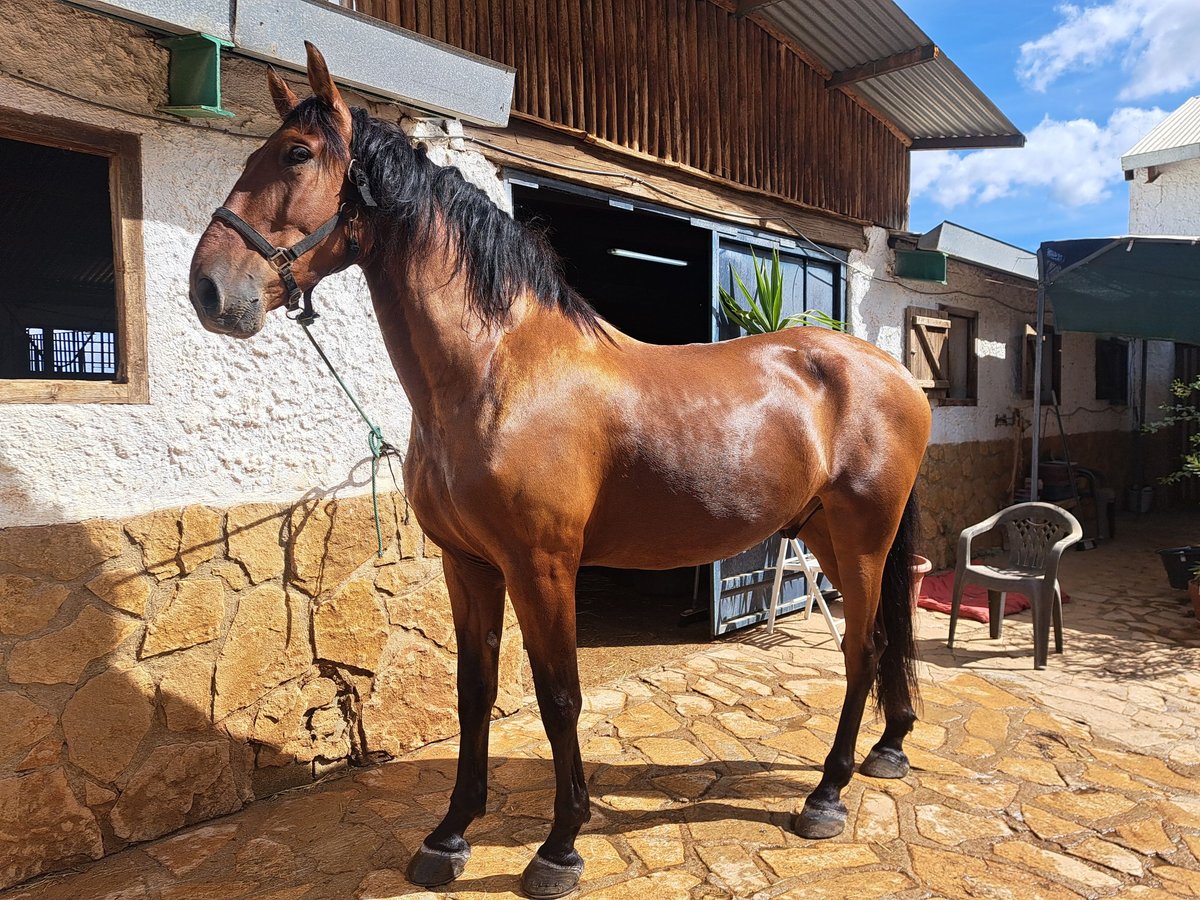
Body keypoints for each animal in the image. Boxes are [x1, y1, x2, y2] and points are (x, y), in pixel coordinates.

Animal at [192, 45, 931, 897]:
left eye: (296, 154)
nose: (209, 288)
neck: (498, 372)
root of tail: (897, 374)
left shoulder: (541, 567)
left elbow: (558, 697)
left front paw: (559, 846)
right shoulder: (468, 564)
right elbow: (475, 691)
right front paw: (449, 834)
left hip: (863, 538)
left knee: (862, 649)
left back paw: (827, 794)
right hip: (827, 536)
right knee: (879, 642)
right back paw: (888, 748)